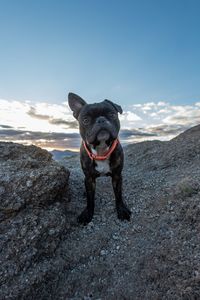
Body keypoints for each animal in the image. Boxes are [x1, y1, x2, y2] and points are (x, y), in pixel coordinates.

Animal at [68, 92, 132, 224]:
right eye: (86, 120)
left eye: (112, 115)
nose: (101, 120)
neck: (101, 150)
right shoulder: (89, 178)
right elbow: (90, 199)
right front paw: (88, 213)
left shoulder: (117, 176)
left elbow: (118, 195)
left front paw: (121, 210)